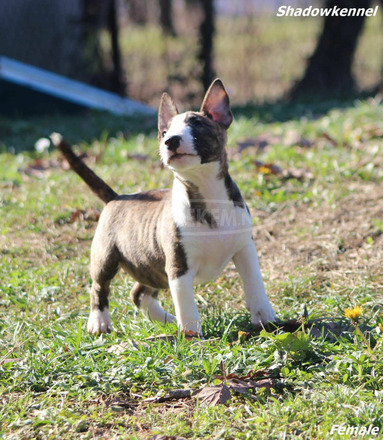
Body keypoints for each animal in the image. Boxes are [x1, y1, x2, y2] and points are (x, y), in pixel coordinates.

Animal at [53, 79, 276, 336]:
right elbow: (186, 305)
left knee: (139, 294)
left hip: (153, 267)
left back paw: (168, 321)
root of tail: (116, 197)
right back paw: (99, 322)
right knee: (99, 287)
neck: (206, 190)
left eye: (197, 124)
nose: (171, 141)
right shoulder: (178, 267)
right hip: (105, 256)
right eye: (164, 132)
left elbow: (254, 282)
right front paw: (192, 336)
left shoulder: (244, 249)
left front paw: (265, 318)